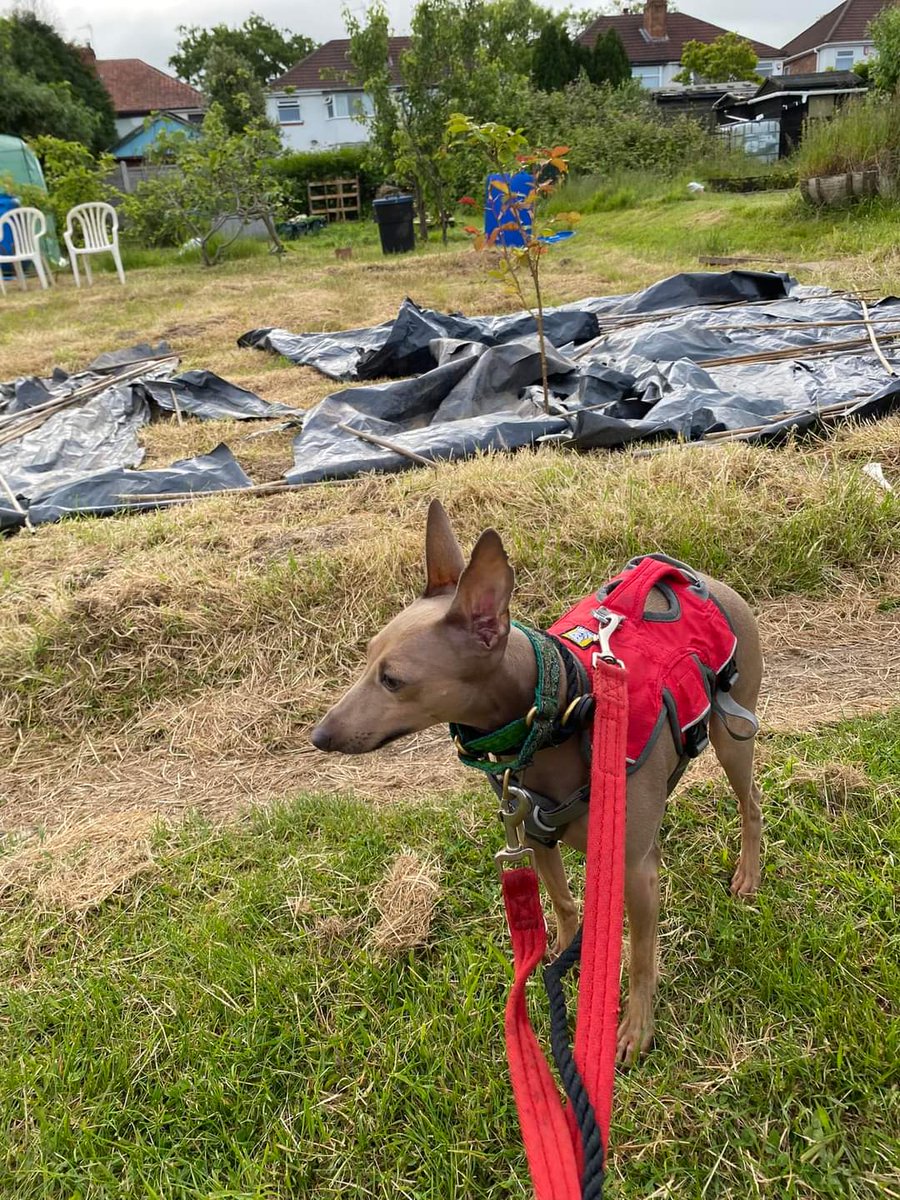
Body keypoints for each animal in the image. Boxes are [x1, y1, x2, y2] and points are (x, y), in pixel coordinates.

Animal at [314, 501, 763, 1065]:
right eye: (367, 656)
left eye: (393, 679)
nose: (319, 735)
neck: (562, 707)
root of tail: (705, 579)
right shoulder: (535, 839)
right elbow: (565, 906)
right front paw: (563, 967)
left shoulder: (634, 872)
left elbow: (641, 956)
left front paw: (636, 1028)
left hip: (732, 736)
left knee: (751, 802)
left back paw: (749, 873)